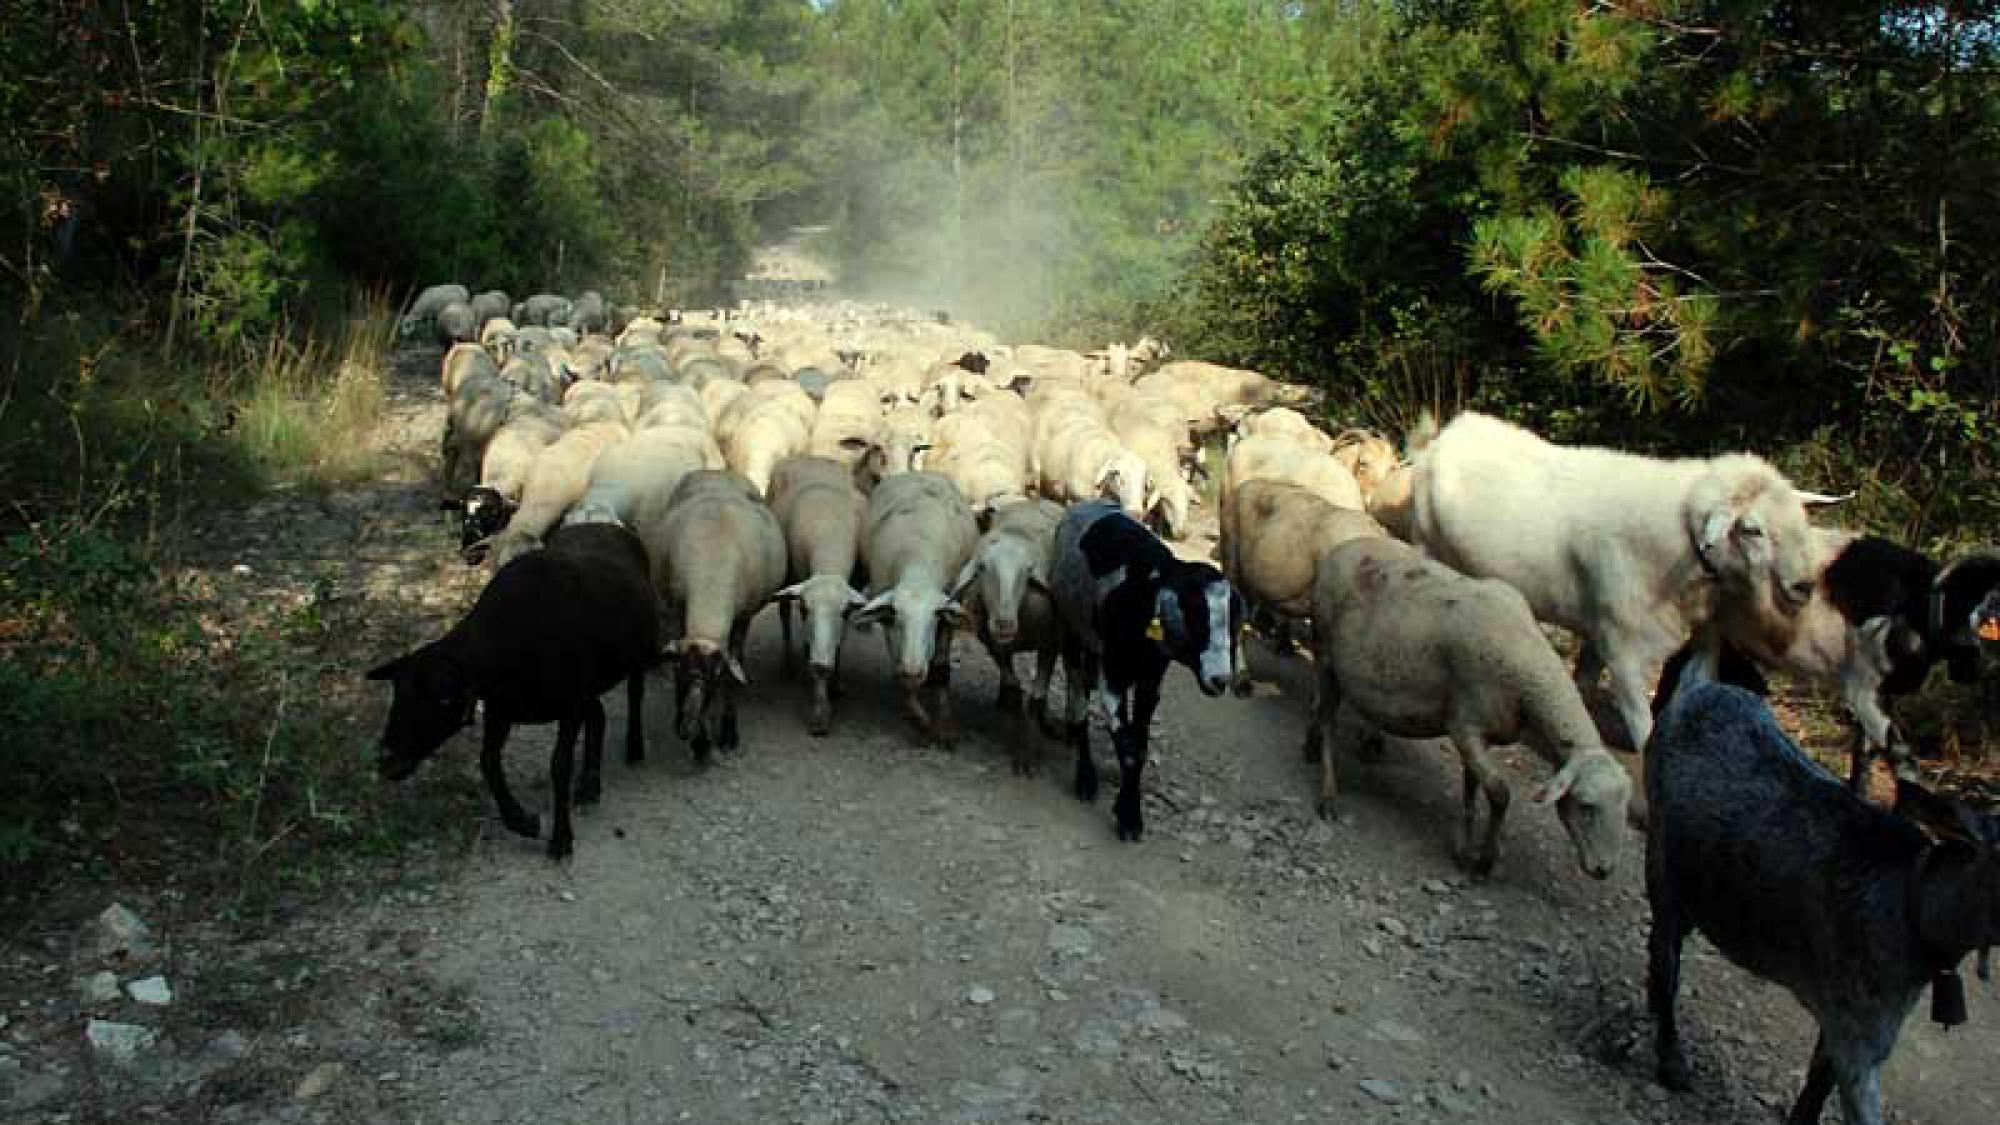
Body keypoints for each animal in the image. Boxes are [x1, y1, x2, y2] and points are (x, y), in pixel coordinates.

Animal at [364, 520, 660, 852]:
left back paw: (634, 749)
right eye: (397, 692)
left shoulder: (569, 705)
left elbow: (559, 766)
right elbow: (488, 762)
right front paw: (522, 822)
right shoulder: (500, 708)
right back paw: (589, 785)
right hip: (588, 684)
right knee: (598, 715)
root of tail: (607, 524)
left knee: (635, 695)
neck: (510, 639)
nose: (388, 761)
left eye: (444, 699)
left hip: (640, 652)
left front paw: (561, 838)